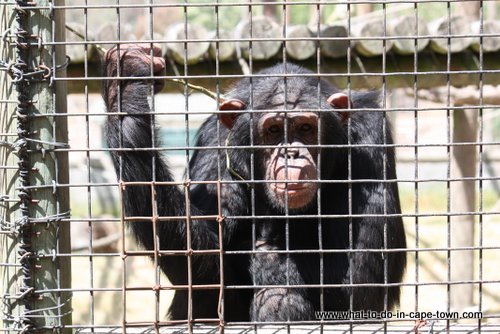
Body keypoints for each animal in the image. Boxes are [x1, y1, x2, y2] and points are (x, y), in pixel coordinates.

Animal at [102, 43, 406, 320]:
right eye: (273, 130)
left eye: (306, 128)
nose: (291, 154)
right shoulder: (214, 144)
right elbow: (205, 270)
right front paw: (125, 83)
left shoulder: (371, 139)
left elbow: (361, 281)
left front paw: (264, 252)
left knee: (279, 297)